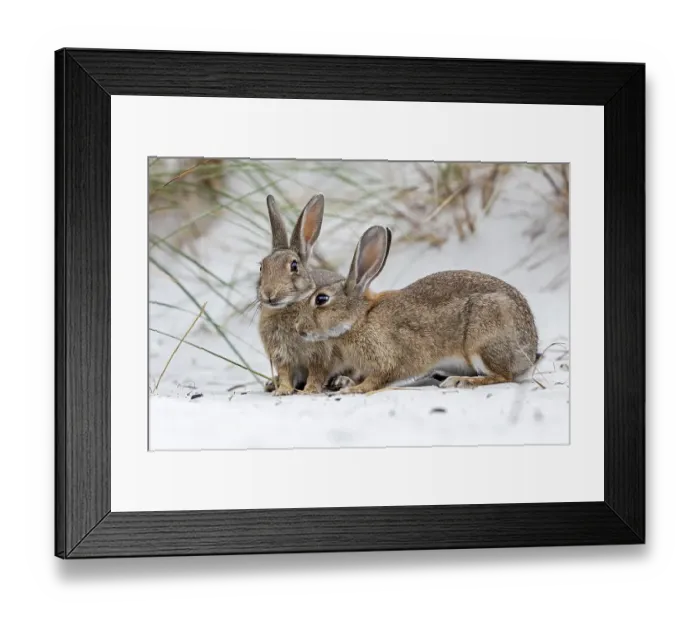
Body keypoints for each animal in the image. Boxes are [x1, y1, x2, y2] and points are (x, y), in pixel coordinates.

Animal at [257, 194, 355, 396]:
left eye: (294, 265)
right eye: (261, 267)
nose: (269, 293)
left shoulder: (319, 353)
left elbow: (316, 372)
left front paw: (310, 390)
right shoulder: (281, 356)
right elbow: (285, 373)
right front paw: (283, 390)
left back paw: (341, 381)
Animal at [294, 226, 539, 394]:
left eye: (321, 299)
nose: (298, 328)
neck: (359, 318)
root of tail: (530, 348)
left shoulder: (389, 360)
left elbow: (376, 380)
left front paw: (352, 389)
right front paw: (345, 382)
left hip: (483, 339)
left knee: (503, 375)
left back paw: (461, 381)